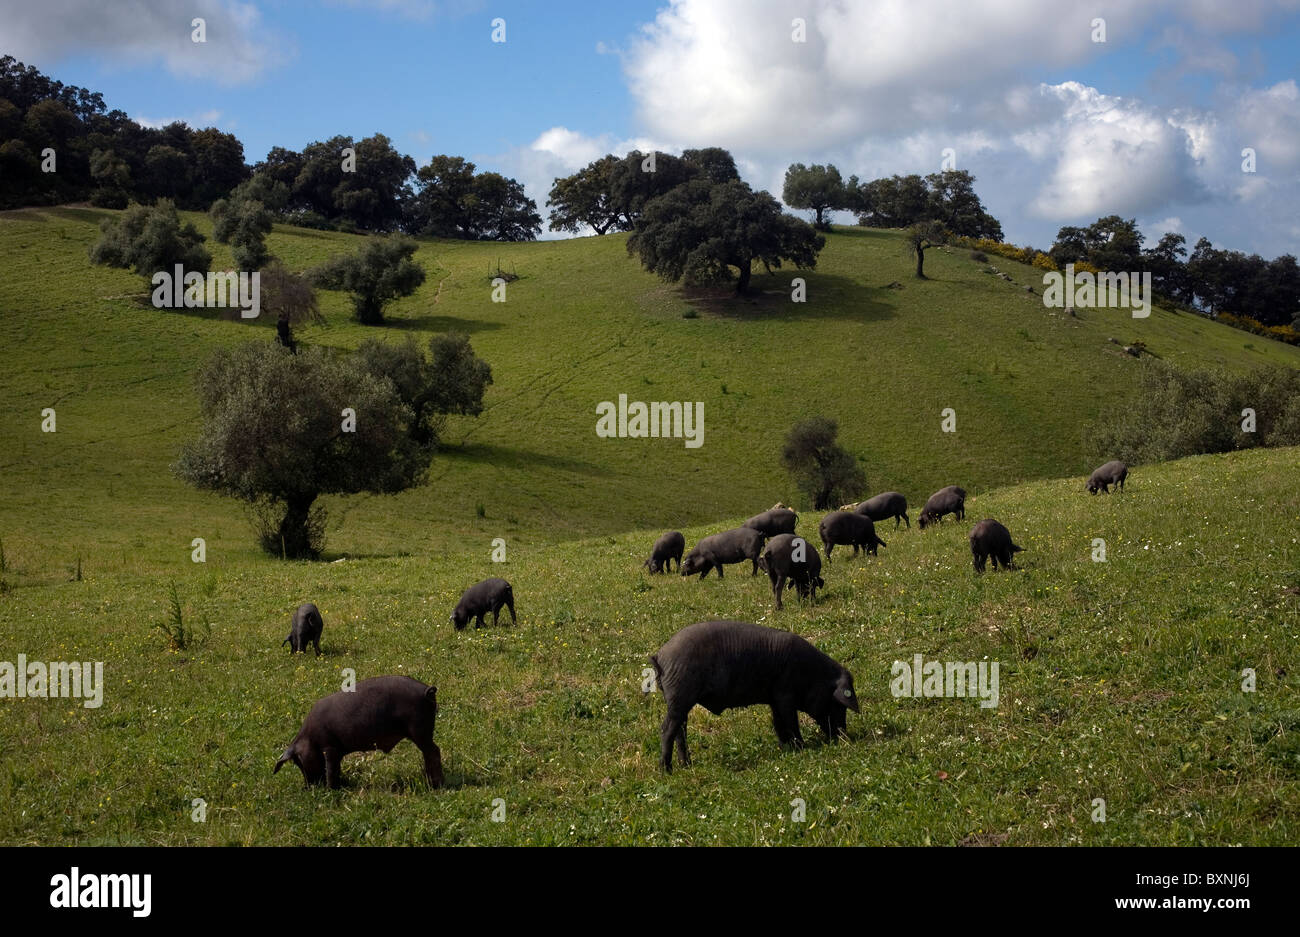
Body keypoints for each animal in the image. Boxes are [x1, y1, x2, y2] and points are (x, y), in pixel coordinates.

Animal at [273, 670, 441, 790]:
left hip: (419, 729)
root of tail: (427, 690)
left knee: (434, 751)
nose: (308, 787)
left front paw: (330, 790)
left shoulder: (329, 746)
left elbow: (331, 770)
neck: (310, 737)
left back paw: (435, 785)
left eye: (299, 762)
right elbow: (336, 769)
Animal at [655, 621, 857, 769]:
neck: (810, 673)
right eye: (837, 703)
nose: (844, 736)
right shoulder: (785, 694)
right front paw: (802, 747)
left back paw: (686, 765)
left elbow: (778, 722)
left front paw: (786, 748)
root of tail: (660, 656)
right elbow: (791, 721)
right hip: (680, 696)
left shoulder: (774, 698)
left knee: (680, 731)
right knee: (667, 729)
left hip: (679, 700)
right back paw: (666, 770)